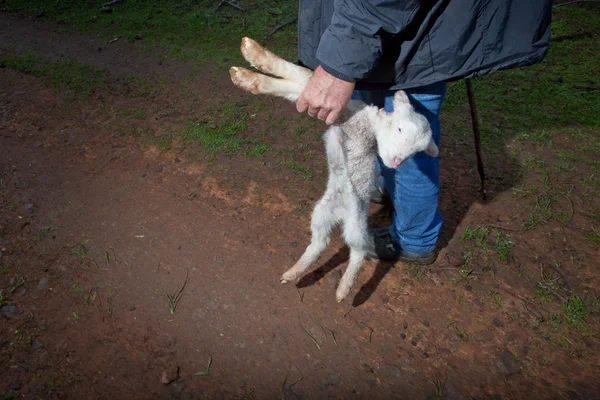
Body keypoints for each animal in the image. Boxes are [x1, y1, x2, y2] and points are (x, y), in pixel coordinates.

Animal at [230, 38, 436, 304]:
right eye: (399, 129)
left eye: (415, 152)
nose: (395, 162)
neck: (371, 125)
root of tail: (341, 212)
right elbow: (298, 80)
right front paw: (250, 62)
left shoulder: (341, 112)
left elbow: (301, 80)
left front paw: (248, 73)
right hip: (321, 213)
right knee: (319, 243)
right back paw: (294, 273)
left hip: (355, 226)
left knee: (359, 251)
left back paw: (343, 290)